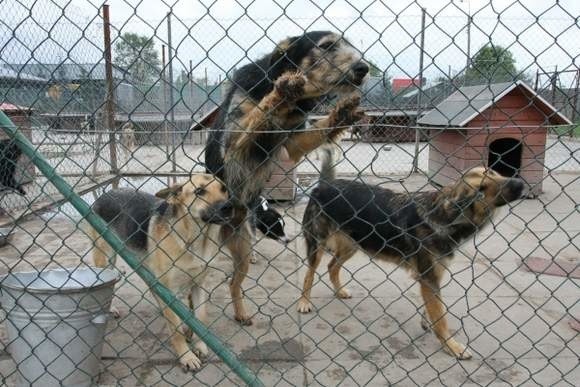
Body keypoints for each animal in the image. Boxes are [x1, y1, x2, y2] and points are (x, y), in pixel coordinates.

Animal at [205, 31, 368, 326]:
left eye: (351, 45)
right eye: (327, 46)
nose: (364, 68)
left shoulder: (292, 145)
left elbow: (320, 128)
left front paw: (342, 112)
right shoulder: (235, 143)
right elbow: (259, 113)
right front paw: (281, 92)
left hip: (242, 251)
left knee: (233, 284)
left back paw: (241, 313)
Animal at [300, 152, 524, 360]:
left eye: (493, 172)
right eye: (480, 191)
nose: (520, 183)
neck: (444, 216)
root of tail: (324, 185)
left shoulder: (433, 277)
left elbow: (433, 309)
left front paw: (429, 323)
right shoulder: (428, 277)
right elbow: (441, 317)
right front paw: (452, 346)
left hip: (353, 244)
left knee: (332, 267)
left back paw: (339, 290)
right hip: (317, 245)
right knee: (309, 274)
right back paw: (304, 302)